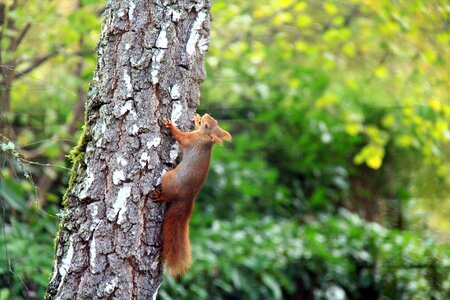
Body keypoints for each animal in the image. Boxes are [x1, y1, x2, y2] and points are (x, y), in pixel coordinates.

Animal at [153, 113, 234, 276]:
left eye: (207, 126)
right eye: (214, 121)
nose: (206, 115)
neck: (205, 139)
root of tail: (187, 199)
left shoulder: (190, 140)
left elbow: (180, 136)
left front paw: (170, 126)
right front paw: (196, 118)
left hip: (168, 178)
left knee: (167, 195)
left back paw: (160, 196)